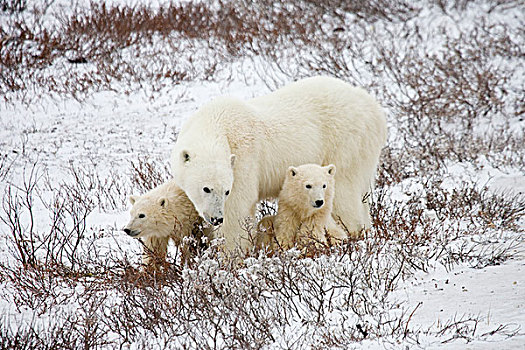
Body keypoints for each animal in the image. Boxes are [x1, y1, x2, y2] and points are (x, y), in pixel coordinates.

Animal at [170, 76, 386, 253]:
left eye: (226, 190)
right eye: (206, 188)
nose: (216, 218)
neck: (216, 121)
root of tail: (372, 105)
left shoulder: (244, 161)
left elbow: (238, 208)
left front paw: (229, 258)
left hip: (345, 142)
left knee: (343, 192)